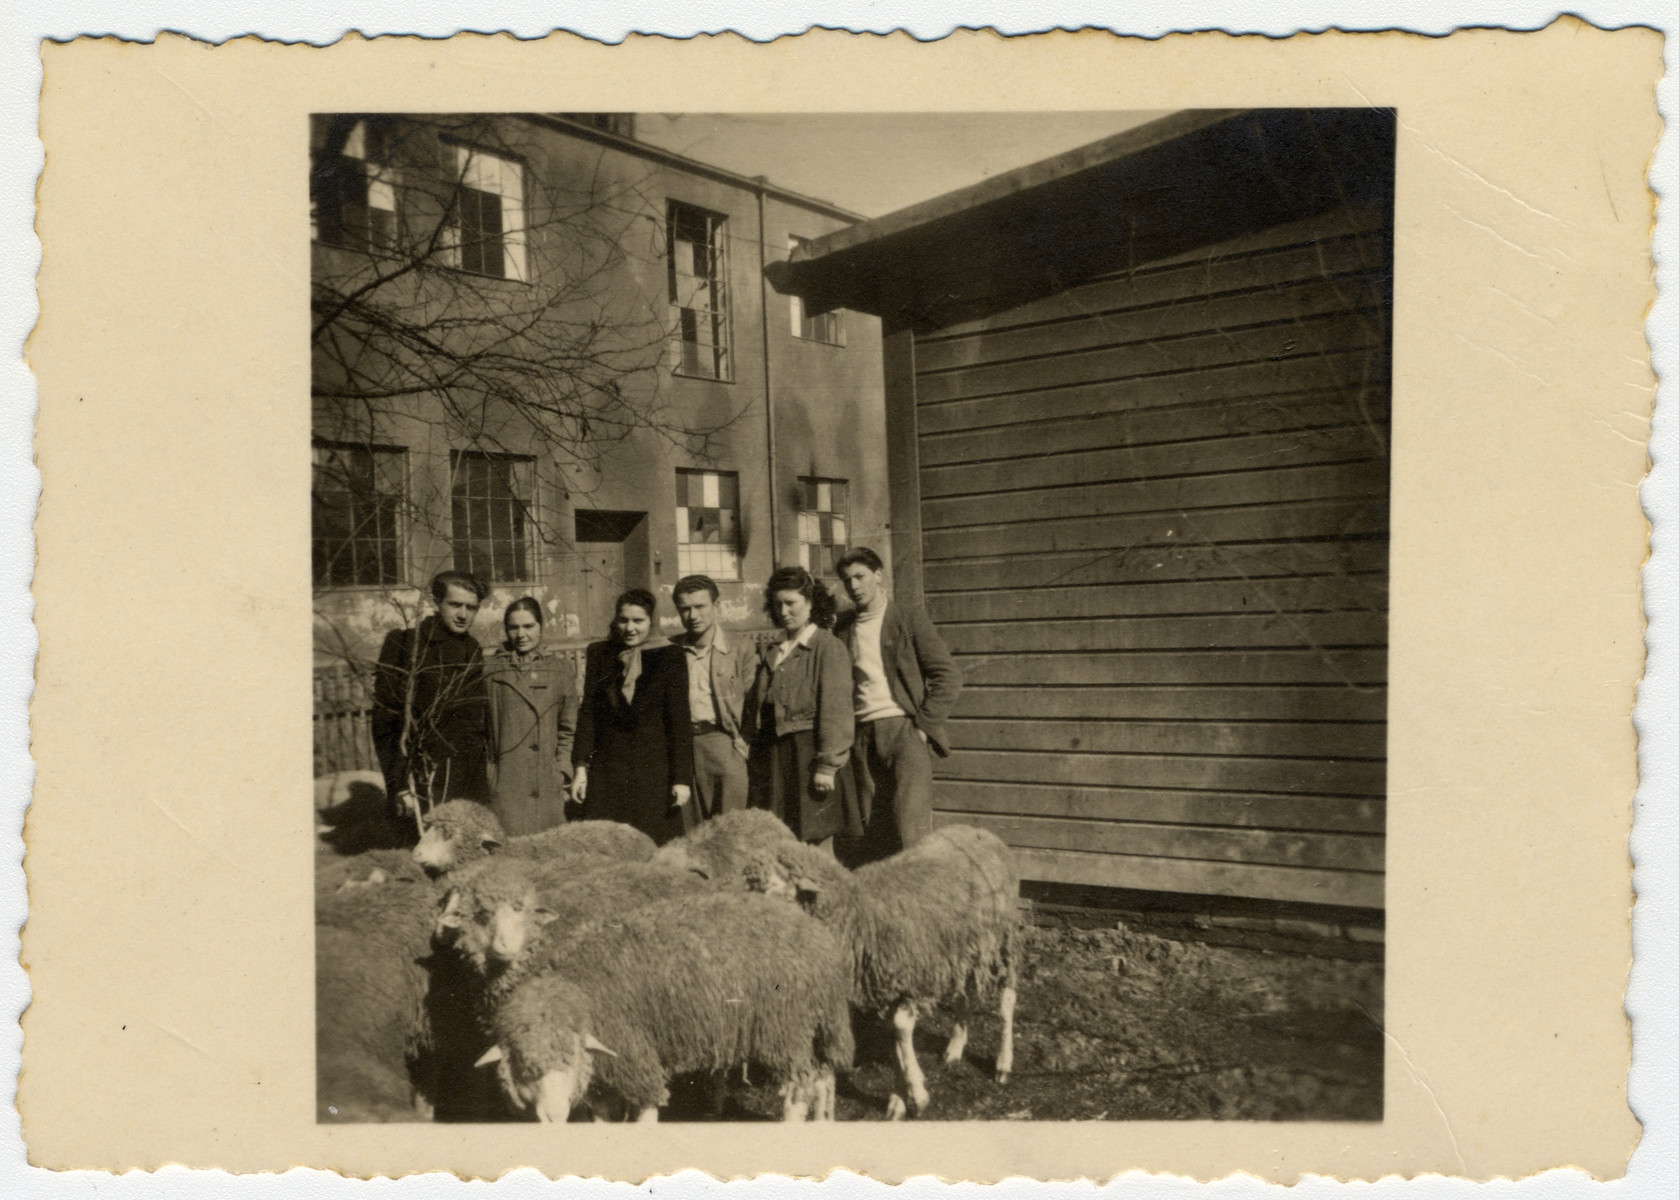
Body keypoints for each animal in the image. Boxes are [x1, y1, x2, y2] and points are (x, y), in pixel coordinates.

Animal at [483, 892, 852, 1127]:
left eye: (569, 1058)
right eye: (525, 1068)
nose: (555, 1116)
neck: (580, 986)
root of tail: (821, 943)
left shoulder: (633, 1056)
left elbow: (646, 1109)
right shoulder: (605, 1068)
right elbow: (602, 1116)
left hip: (785, 1030)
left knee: (799, 1088)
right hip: (814, 1026)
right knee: (823, 1078)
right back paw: (824, 1122)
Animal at [748, 825, 1020, 1114]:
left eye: (775, 892)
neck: (857, 911)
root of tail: (980, 830)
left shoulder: (913, 978)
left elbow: (901, 1028)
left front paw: (917, 1093)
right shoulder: (888, 984)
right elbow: (895, 1037)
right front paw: (900, 1097)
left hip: (1003, 940)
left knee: (1007, 1000)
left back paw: (1003, 1063)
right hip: (961, 950)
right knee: (964, 996)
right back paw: (955, 1047)